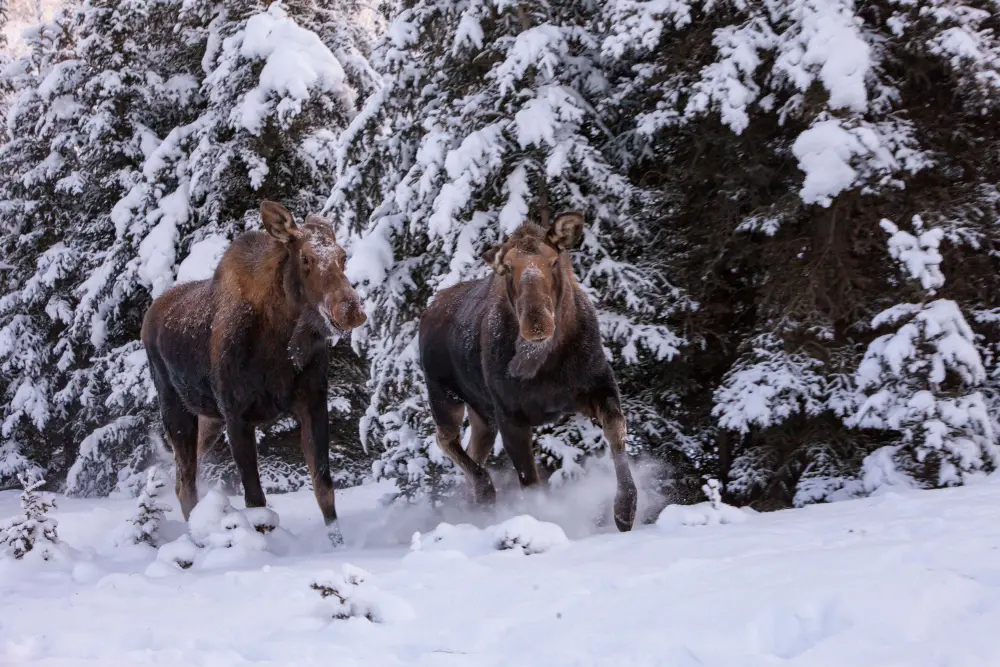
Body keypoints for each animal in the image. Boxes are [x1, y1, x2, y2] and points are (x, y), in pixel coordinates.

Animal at [145, 200, 368, 544]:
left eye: (342, 255)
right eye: (305, 258)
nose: (351, 310)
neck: (279, 341)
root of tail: (149, 316)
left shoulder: (313, 402)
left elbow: (324, 488)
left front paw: (338, 546)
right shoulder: (237, 415)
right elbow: (256, 501)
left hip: (209, 418)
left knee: (181, 477)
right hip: (176, 409)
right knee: (186, 481)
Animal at [422, 213, 640, 532]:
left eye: (553, 260)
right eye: (507, 268)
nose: (536, 322)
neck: (546, 364)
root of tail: (428, 309)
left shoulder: (598, 385)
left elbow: (615, 429)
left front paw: (625, 510)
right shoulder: (510, 414)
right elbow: (531, 481)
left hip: (482, 413)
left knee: (474, 451)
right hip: (444, 395)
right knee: (446, 440)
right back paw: (484, 492)